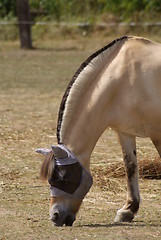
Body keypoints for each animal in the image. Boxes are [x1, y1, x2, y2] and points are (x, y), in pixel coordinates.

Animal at [35, 34, 161, 226]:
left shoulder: (157, 133)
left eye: (63, 178)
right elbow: (130, 167)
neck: (125, 77)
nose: (55, 216)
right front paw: (128, 210)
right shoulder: (124, 131)